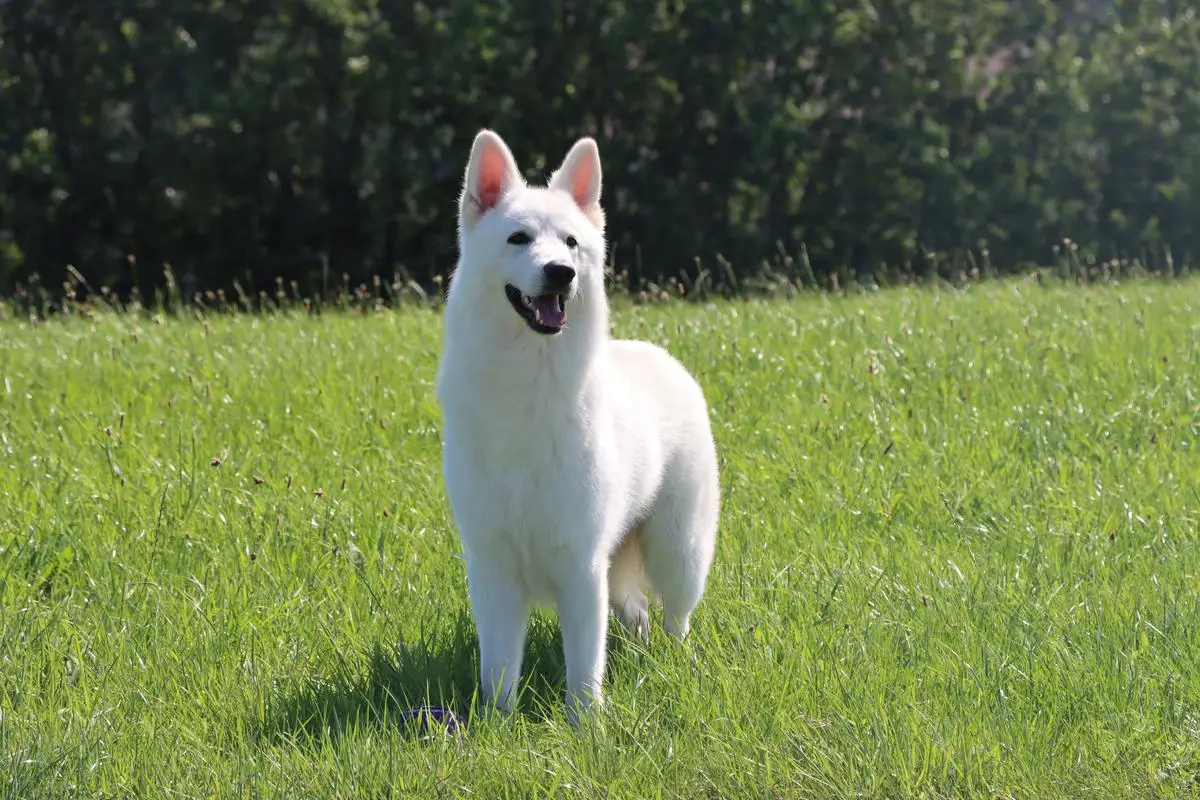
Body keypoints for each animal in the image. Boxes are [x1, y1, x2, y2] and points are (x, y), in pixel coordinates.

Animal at [441, 133, 720, 724]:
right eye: (518, 238)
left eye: (571, 244)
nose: (561, 272)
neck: (528, 380)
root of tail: (658, 354)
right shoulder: (493, 567)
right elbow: (498, 667)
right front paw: (495, 726)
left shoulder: (580, 564)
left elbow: (585, 667)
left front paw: (586, 728)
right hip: (621, 569)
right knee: (637, 615)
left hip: (678, 551)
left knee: (675, 619)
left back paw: (673, 664)